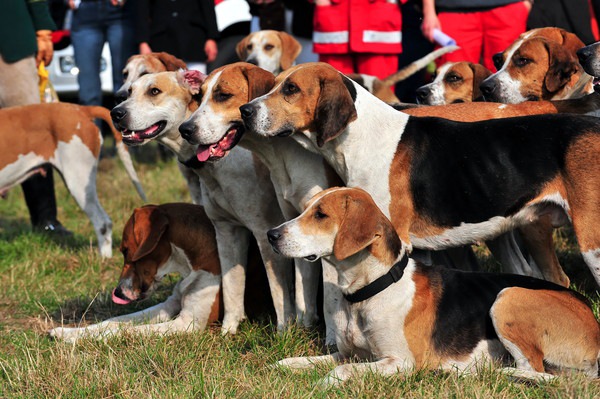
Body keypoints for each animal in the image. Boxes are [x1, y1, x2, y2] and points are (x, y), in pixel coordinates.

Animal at [112, 69, 296, 334]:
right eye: (129, 92)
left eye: (154, 91)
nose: (115, 113)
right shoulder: (225, 230)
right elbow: (231, 288)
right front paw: (229, 330)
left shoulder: (264, 232)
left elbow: (280, 294)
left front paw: (285, 332)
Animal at [240, 62, 600, 286]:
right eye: (274, 84)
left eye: (291, 89)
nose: (245, 111)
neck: (362, 136)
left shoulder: (394, 238)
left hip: (587, 241)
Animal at [268, 188, 600, 388]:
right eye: (306, 209)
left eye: (321, 215)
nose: (271, 234)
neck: (371, 290)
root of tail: (593, 324)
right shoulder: (351, 354)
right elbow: (307, 362)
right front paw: (285, 363)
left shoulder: (399, 362)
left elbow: (339, 370)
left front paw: (324, 383)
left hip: (508, 297)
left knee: (537, 371)